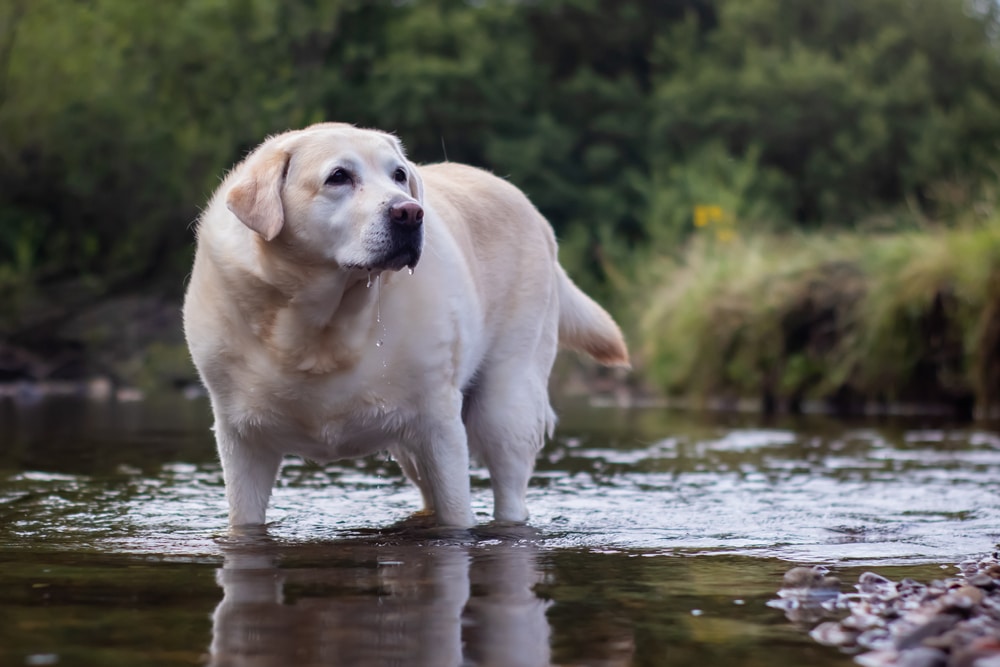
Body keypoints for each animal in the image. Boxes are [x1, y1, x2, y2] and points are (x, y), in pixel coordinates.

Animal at [182, 121, 624, 528]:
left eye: (398, 174)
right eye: (338, 176)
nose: (410, 212)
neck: (319, 326)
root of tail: (532, 210)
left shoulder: (439, 425)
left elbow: (457, 516)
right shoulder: (242, 440)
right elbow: (244, 518)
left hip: (507, 405)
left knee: (510, 491)